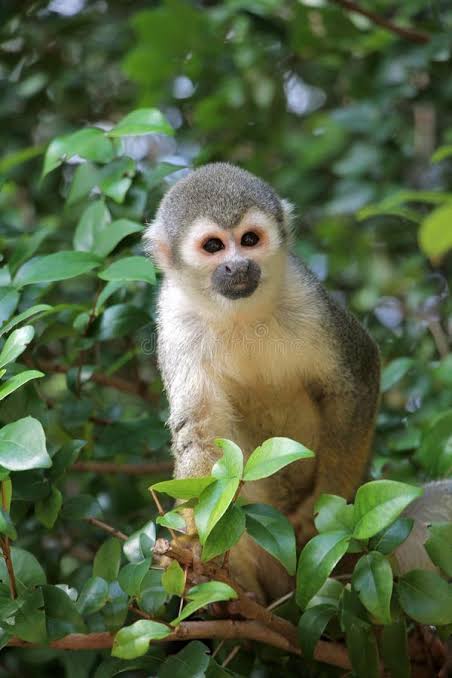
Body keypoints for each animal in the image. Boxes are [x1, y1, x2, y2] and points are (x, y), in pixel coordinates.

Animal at [144, 162, 381, 600]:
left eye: (249, 240)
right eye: (214, 246)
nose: (238, 265)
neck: (238, 314)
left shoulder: (307, 296)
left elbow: (357, 376)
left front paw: (326, 506)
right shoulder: (175, 321)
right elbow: (200, 433)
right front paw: (192, 543)